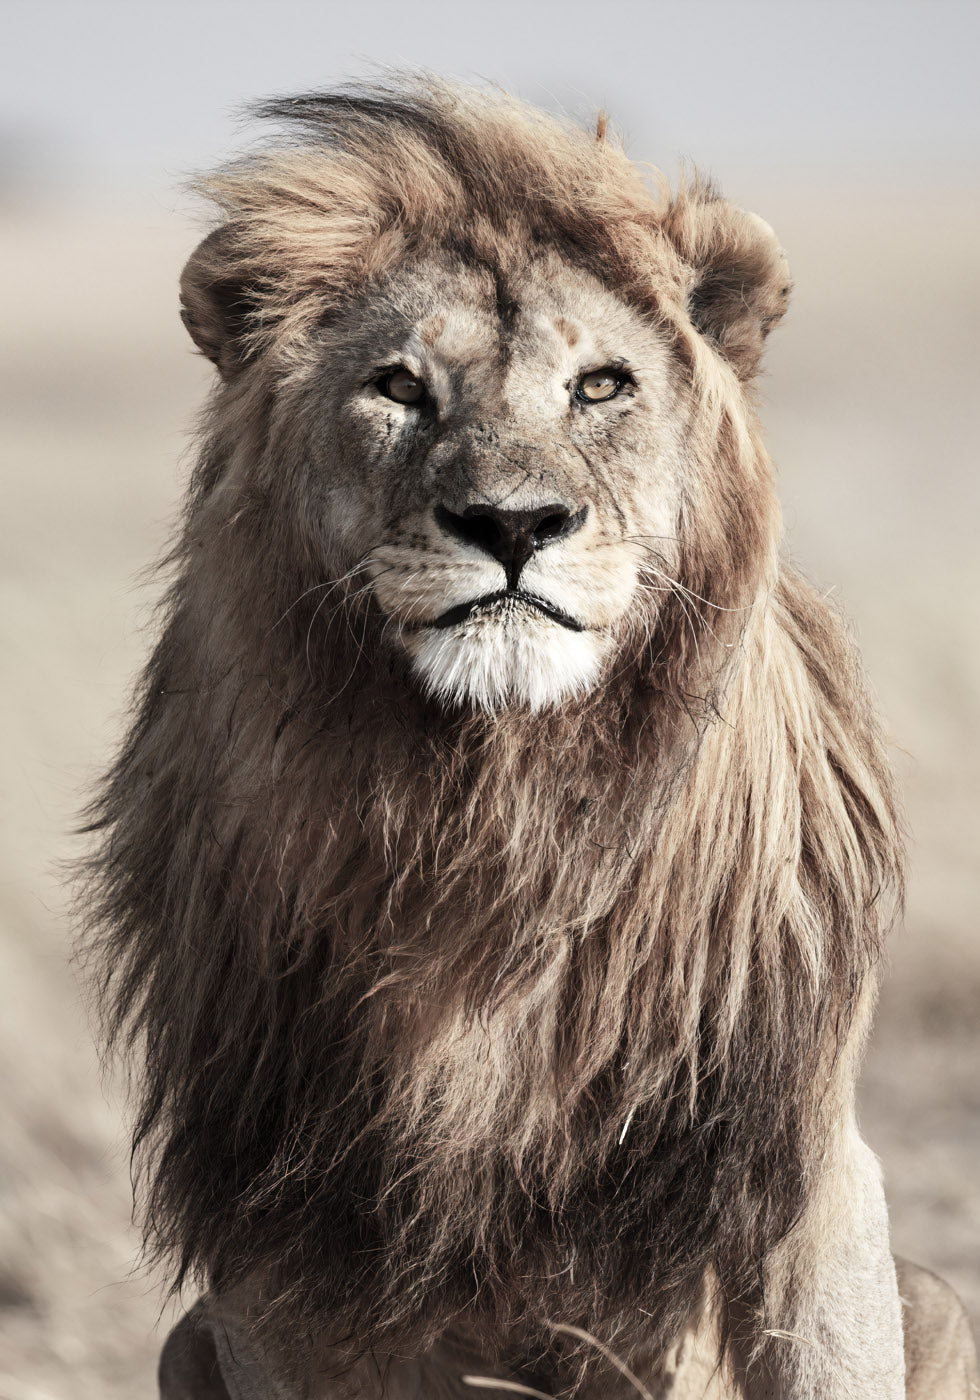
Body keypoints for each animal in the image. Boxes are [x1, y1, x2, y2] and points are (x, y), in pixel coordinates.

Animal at [84, 80, 979, 1398]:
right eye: (398, 387)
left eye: (600, 386)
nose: (512, 523)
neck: (498, 810)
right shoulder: (277, 1230)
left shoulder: (794, 1159)